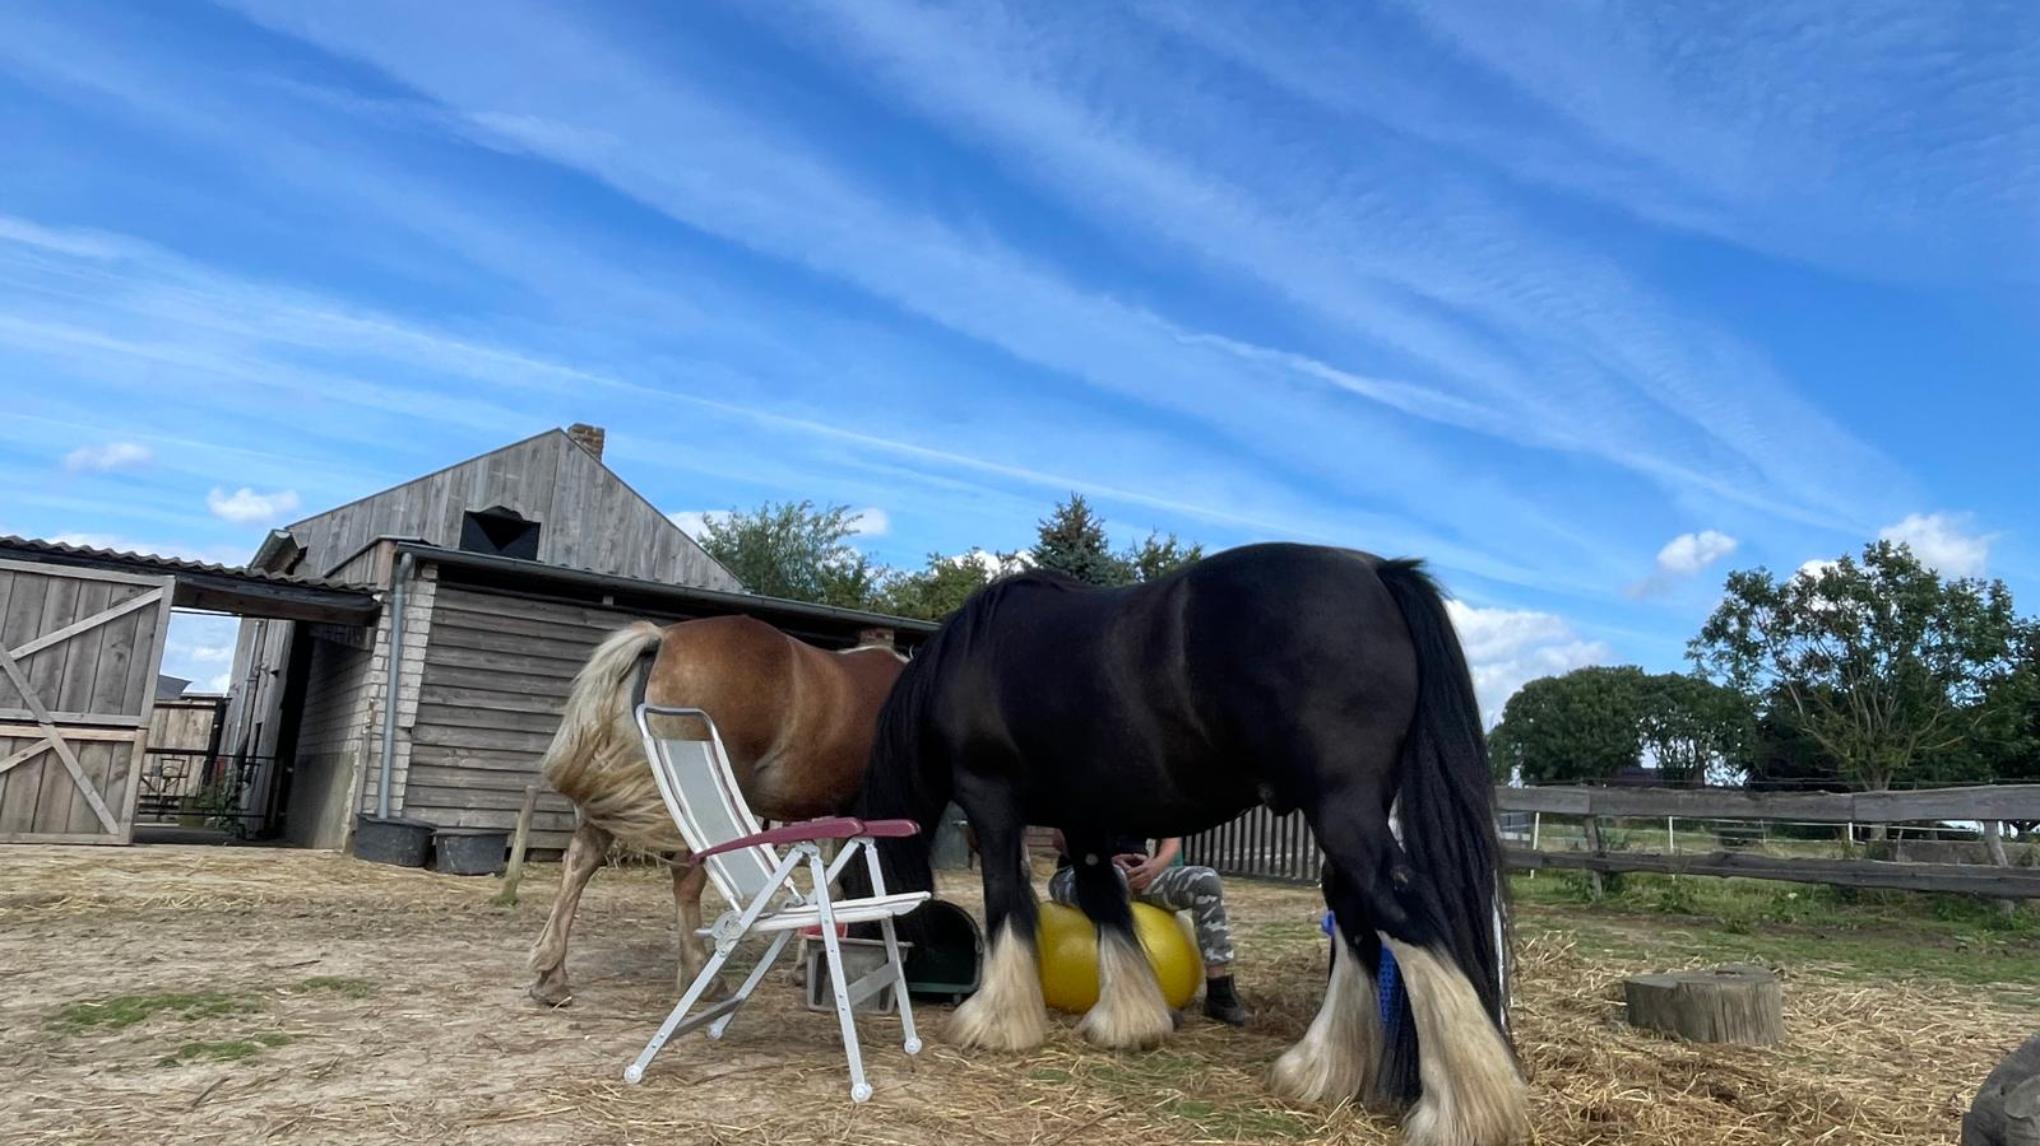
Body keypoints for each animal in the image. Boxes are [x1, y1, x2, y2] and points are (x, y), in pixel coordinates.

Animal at [527, 614, 905, 1007]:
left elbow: (830, 886)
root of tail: (661, 640)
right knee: (685, 879)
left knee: (580, 863)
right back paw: (702, 976)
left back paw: (552, 977)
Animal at [851, 543, 1527, 1146]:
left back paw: (1462, 1111)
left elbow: (1005, 901)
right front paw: (1129, 1021)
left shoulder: (991, 803)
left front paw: (993, 1022)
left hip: (1341, 808)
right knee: (1355, 915)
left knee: (1394, 908)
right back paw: (1319, 1071)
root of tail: (1378, 572)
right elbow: (1104, 900)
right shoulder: (1083, 817)